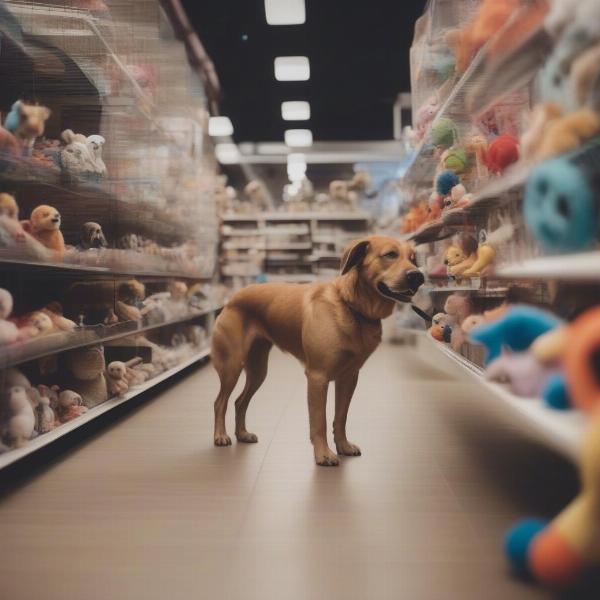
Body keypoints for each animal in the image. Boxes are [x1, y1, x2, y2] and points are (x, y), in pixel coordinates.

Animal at [213, 237, 424, 466]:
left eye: (414, 259)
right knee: (220, 402)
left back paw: (242, 434)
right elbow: (319, 421)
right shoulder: (317, 378)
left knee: (239, 401)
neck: (350, 307)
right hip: (232, 366)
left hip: (258, 371)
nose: (418, 276)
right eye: (390, 255)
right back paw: (220, 436)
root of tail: (232, 298)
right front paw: (323, 454)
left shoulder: (348, 378)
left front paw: (343, 446)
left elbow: (340, 417)